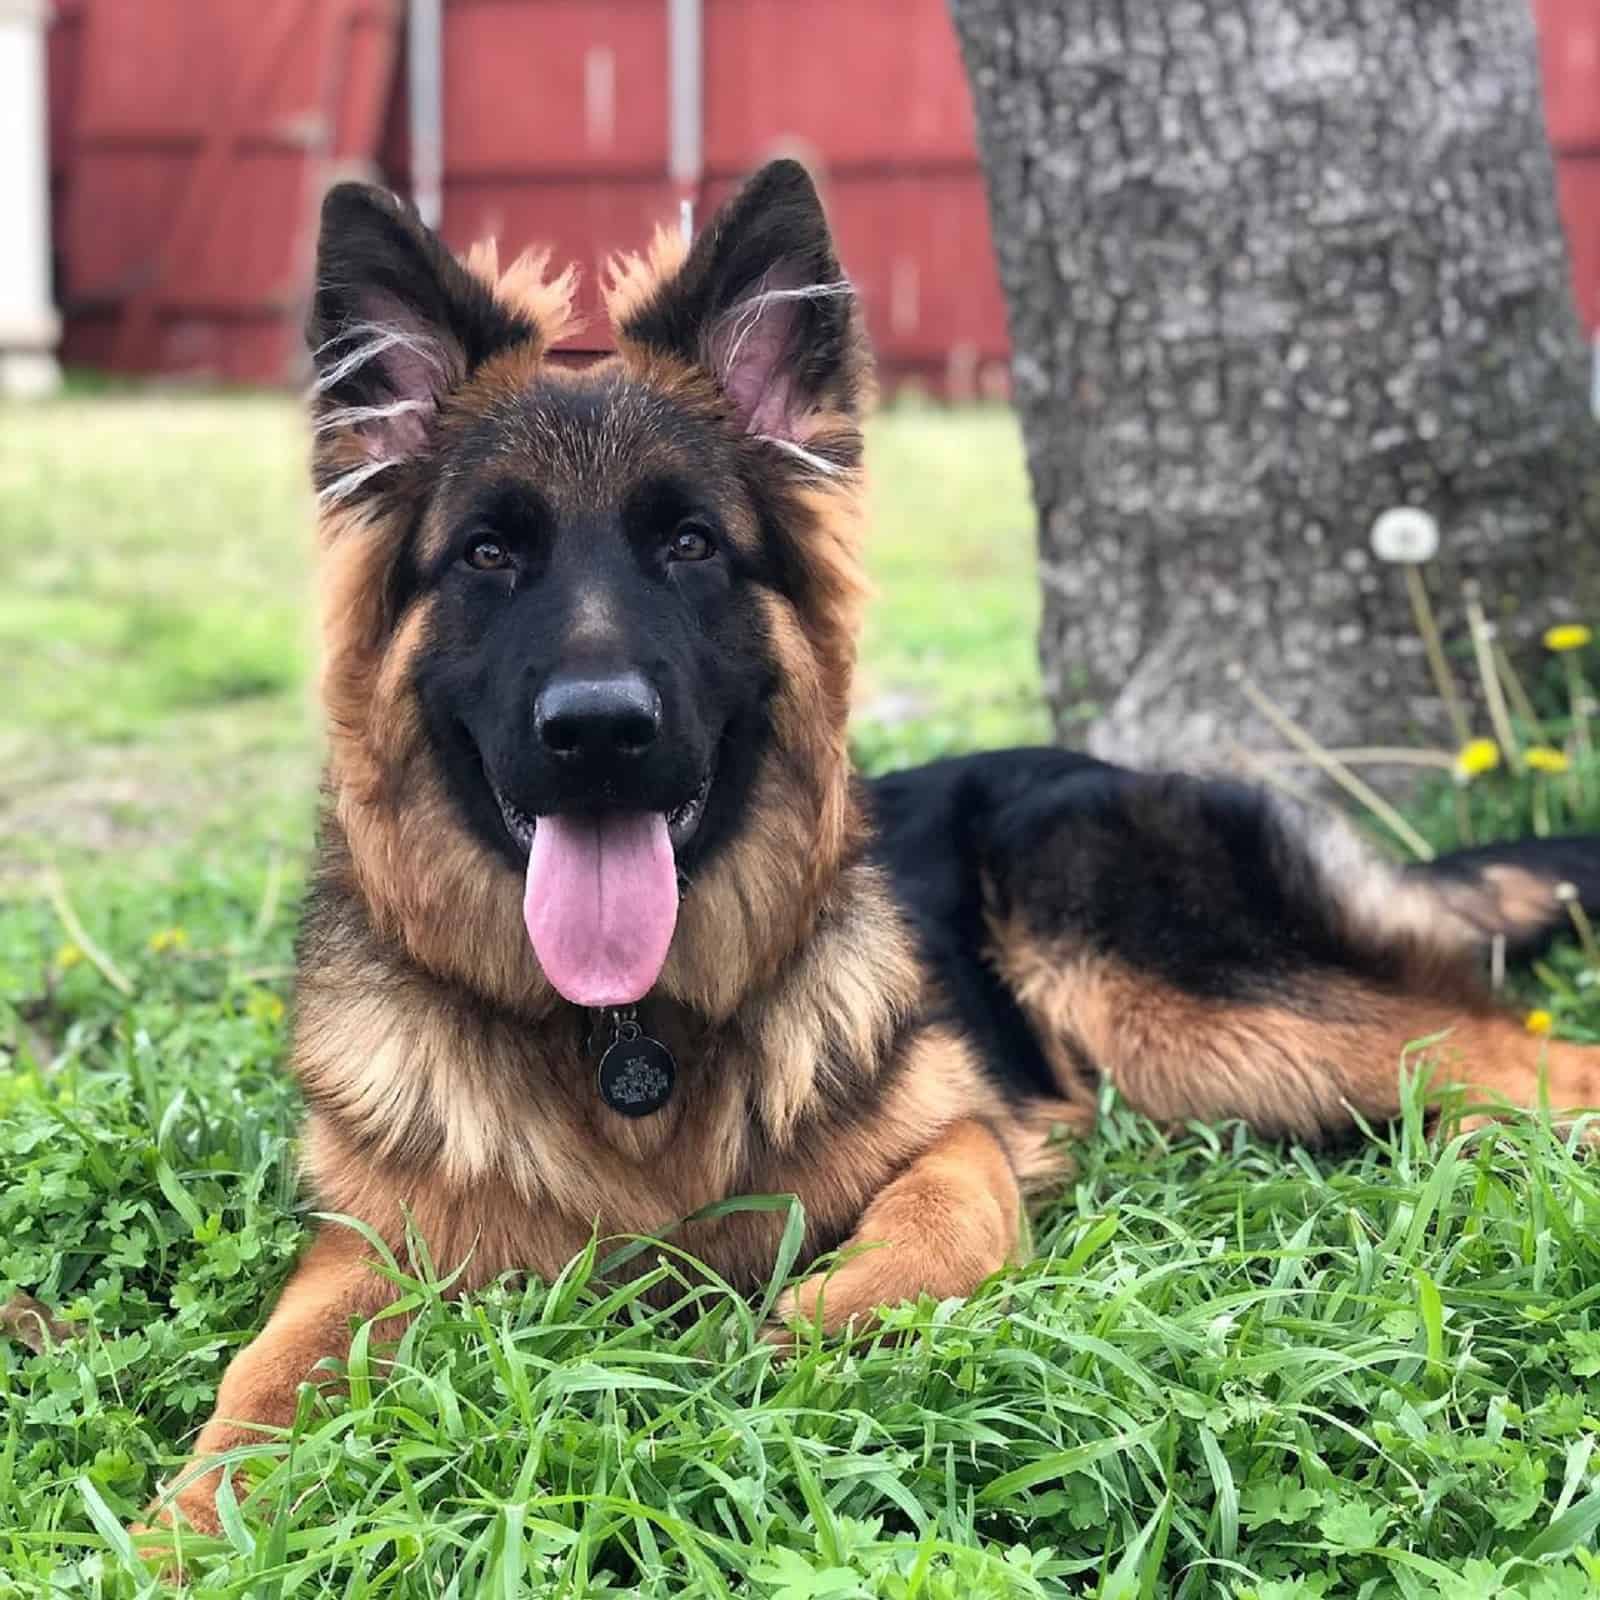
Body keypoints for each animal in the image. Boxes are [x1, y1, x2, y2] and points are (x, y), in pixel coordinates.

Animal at [152, 162, 1600, 1536]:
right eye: (489, 554)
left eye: (690, 544)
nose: (600, 732)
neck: (626, 1039)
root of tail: (1117, 767)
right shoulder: (367, 1249)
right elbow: (262, 1378)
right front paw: (178, 1531)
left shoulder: (962, 1125)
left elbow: (930, 1220)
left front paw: (797, 1337)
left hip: (1165, 995)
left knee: (1513, 1057)